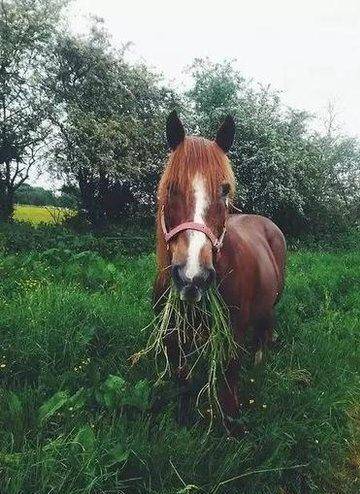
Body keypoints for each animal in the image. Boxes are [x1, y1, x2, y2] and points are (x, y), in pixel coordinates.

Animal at [153, 111, 286, 428]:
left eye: (224, 190)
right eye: (171, 187)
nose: (193, 277)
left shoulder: (233, 330)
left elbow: (229, 374)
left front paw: (231, 423)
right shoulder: (174, 337)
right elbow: (182, 379)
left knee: (266, 324)